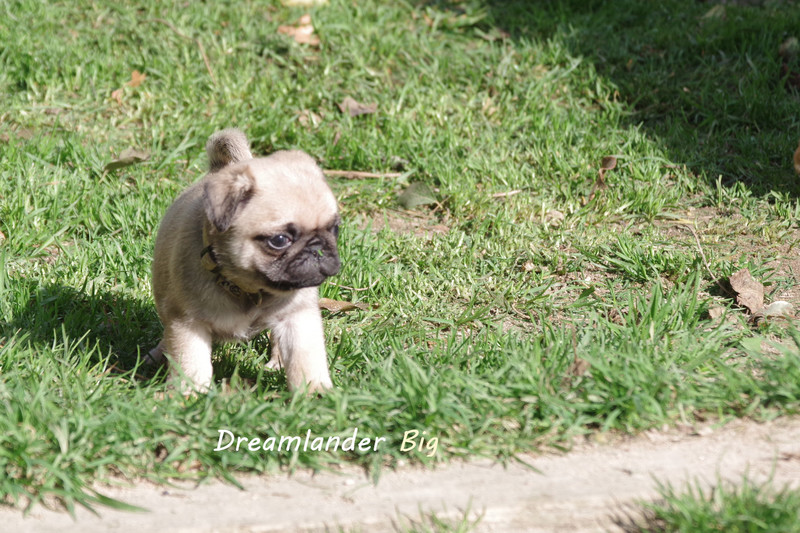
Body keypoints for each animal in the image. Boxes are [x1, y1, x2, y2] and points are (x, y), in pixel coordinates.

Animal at [148, 128, 340, 393]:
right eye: (279, 240)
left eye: (335, 229)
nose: (318, 249)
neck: (248, 289)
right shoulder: (188, 324)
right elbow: (191, 365)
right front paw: (189, 395)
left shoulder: (298, 318)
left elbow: (305, 360)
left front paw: (315, 393)